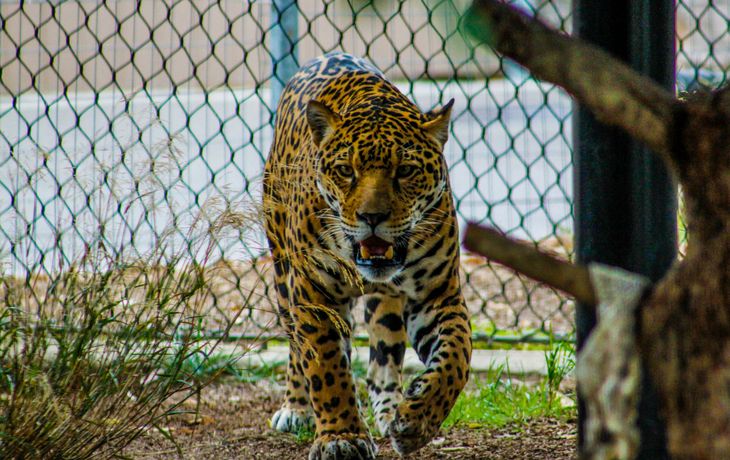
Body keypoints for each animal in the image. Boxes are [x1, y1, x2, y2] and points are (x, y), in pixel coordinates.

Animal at [263, 52, 472, 460]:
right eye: (346, 170)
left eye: (405, 170)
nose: (372, 217)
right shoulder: (313, 294)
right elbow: (326, 368)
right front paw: (340, 436)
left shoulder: (438, 294)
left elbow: (457, 356)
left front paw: (417, 419)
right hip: (282, 273)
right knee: (297, 347)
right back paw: (297, 409)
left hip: (386, 304)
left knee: (383, 359)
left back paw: (390, 411)